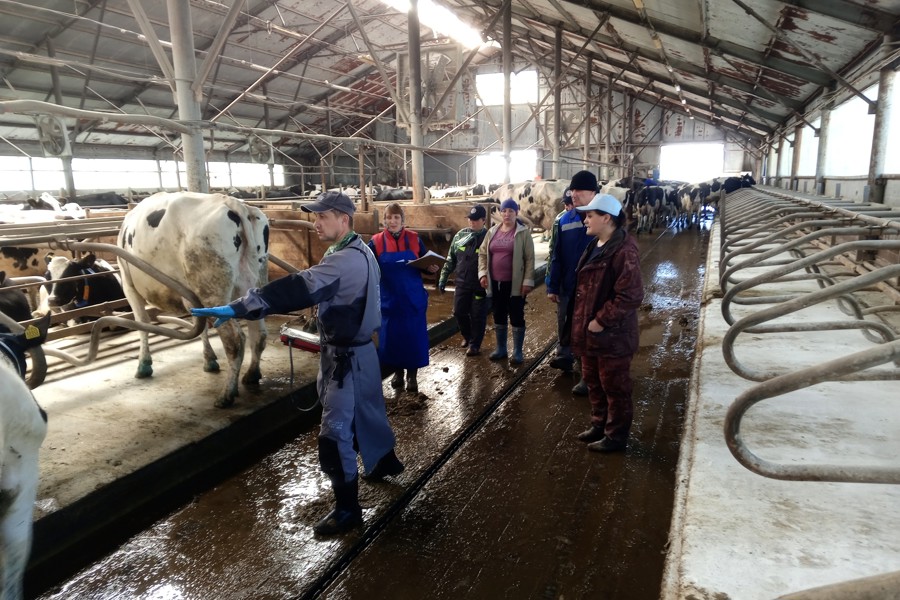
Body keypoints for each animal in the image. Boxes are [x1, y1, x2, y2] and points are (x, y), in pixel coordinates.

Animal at [118, 192, 268, 408]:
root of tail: (234, 203)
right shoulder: (190, 295)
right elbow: (200, 324)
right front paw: (209, 360)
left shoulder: (128, 283)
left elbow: (142, 323)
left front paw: (144, 365)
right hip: (254, 282)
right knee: (259, 335)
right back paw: (252, 375)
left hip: (211, 288)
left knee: (235, 340)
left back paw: (226, 394)